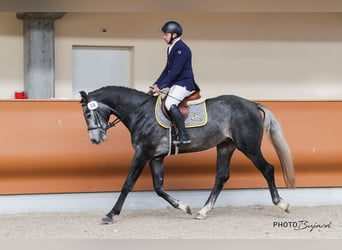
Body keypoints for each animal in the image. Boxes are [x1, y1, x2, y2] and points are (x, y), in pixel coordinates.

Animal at [79, 86, 294, 225]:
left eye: (88, 114)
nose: (95, 140)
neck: (140, 113)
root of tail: (252, 104)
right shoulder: (155, 157)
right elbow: (159, 188)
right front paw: (184, 206)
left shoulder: (142, 154)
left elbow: (127, 185)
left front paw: (110, 214)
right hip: (226, 147)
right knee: (221, 177)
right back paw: (203, 211)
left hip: (249, 147)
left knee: (267, 169)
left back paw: (282, 204)